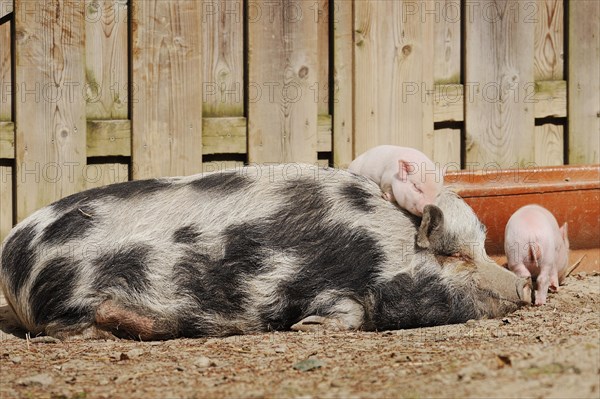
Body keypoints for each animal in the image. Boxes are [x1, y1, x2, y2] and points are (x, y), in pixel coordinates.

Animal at [0, 165, 528, 340]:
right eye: (456, 257)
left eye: (481, 249)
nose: (525, 285)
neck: (380, 249)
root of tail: (11, 255)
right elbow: (345, 313)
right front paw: (305, 327)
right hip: (69, 301)